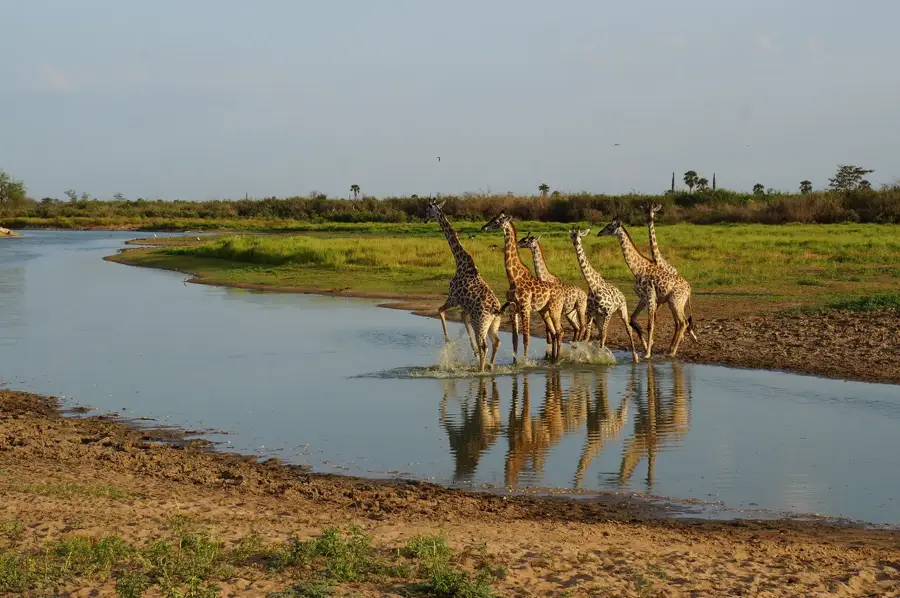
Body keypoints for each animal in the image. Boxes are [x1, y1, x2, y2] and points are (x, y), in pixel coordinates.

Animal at [424, 199, 503, 371]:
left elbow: (440, 310)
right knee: (496, 342)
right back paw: (489, 366)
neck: (460, 260)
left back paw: (481, 369)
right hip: (493, 324)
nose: (424, 219)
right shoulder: (465, 307)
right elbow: (461, 318)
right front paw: (472, 351)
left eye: (427, 210)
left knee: (484, 346)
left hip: (480, 322)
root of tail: (496, 310)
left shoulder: (453, 298)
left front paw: (448, 342)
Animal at [481, 213, 566, 363]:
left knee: (559, 331)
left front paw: (525, 363)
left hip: (555, 309)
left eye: (496, 221)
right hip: (545, 310)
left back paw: (556, 359)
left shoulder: (525, 307)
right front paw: (514, 363)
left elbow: (526, 337)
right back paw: (553, 358)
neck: (513, 277)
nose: (484, 227)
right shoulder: (513, 309)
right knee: (555, 332)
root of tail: (562, 292)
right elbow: (514, 338)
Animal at [569, 227, 640, 362]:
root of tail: (621, 293)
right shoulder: (591, 313)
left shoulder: (608, 311)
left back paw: (635, 357)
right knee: (601, 332)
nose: (575, 243)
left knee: (628, 329)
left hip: (621, 309)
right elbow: (588, 335)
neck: (593, 285)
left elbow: (604, 335)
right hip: (599, 316)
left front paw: (602, 358)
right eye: (572, 236)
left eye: (580, 236)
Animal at [597, 218, 698, 358]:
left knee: (682, 322)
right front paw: (646, 346)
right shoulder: (643, 298)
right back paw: (669, 349)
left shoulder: (650, 297)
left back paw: (672, 352)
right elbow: (633, 319)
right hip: (675, 302)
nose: (599, 233)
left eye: (609, 226)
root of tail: (689, 288)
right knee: (681, 322)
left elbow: (650, 325)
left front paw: (647, 353)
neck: (637, 269)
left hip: (675, 301)